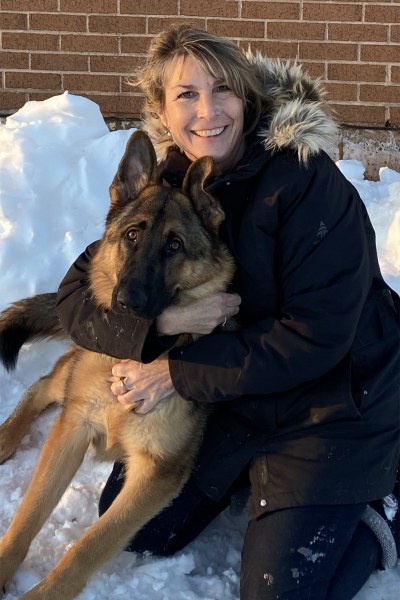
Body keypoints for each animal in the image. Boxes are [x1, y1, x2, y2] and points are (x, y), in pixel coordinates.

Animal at [0, 131, 234, 600]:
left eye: (175, 245)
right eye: (131, 236)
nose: (127, 304)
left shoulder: (156, 474)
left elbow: (87, 546)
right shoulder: (72, 428)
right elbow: (27, 517)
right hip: (70, 383)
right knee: (44, 385)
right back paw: (4, 439)